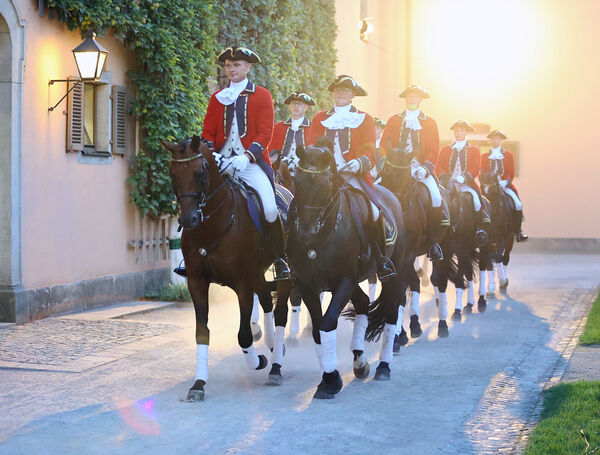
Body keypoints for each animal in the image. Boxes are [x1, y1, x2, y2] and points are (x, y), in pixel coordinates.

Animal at [159, 136, 290, 402]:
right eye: (172, 173)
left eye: (199, 173)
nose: (187, 220)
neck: (213, 225)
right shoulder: (197, 282)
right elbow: (202, 332)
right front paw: (198, 384)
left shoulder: (243, 284)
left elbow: (243, 334)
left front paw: (257, 361)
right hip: (257, 274)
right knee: (266, 302)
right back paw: (272, 345)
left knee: (280, 312)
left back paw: (276, 366)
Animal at [278, 141, 406, 400]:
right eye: (298, 182)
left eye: (326, 184)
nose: (306, 232)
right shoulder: (308, 284)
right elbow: (318, 330)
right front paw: (329, 377)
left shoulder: (344, 280)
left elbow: (327, 324)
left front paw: (331, 381)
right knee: (363, 302)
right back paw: (360, 361)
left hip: (393, 273)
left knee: (390, 315)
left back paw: (384, 366)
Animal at [380, 142, 450, 346]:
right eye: (387, 170)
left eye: (405, 176)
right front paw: (399, 333)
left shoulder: (406, 256)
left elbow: (401, 294)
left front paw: (396, 337)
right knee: (416, 282)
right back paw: (414, 324)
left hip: (443, 247)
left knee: (439, 280)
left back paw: (442, 324)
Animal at [478, 171, 516, 300]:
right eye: (482, 188)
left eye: (495, 188)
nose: (487, 209)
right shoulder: (485, 242)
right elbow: (489, 262)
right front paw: (490, 288)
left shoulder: (503, 238)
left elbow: (499, 257)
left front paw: (502, 281)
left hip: (509, 239)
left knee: (505, 258)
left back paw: (503, 281)